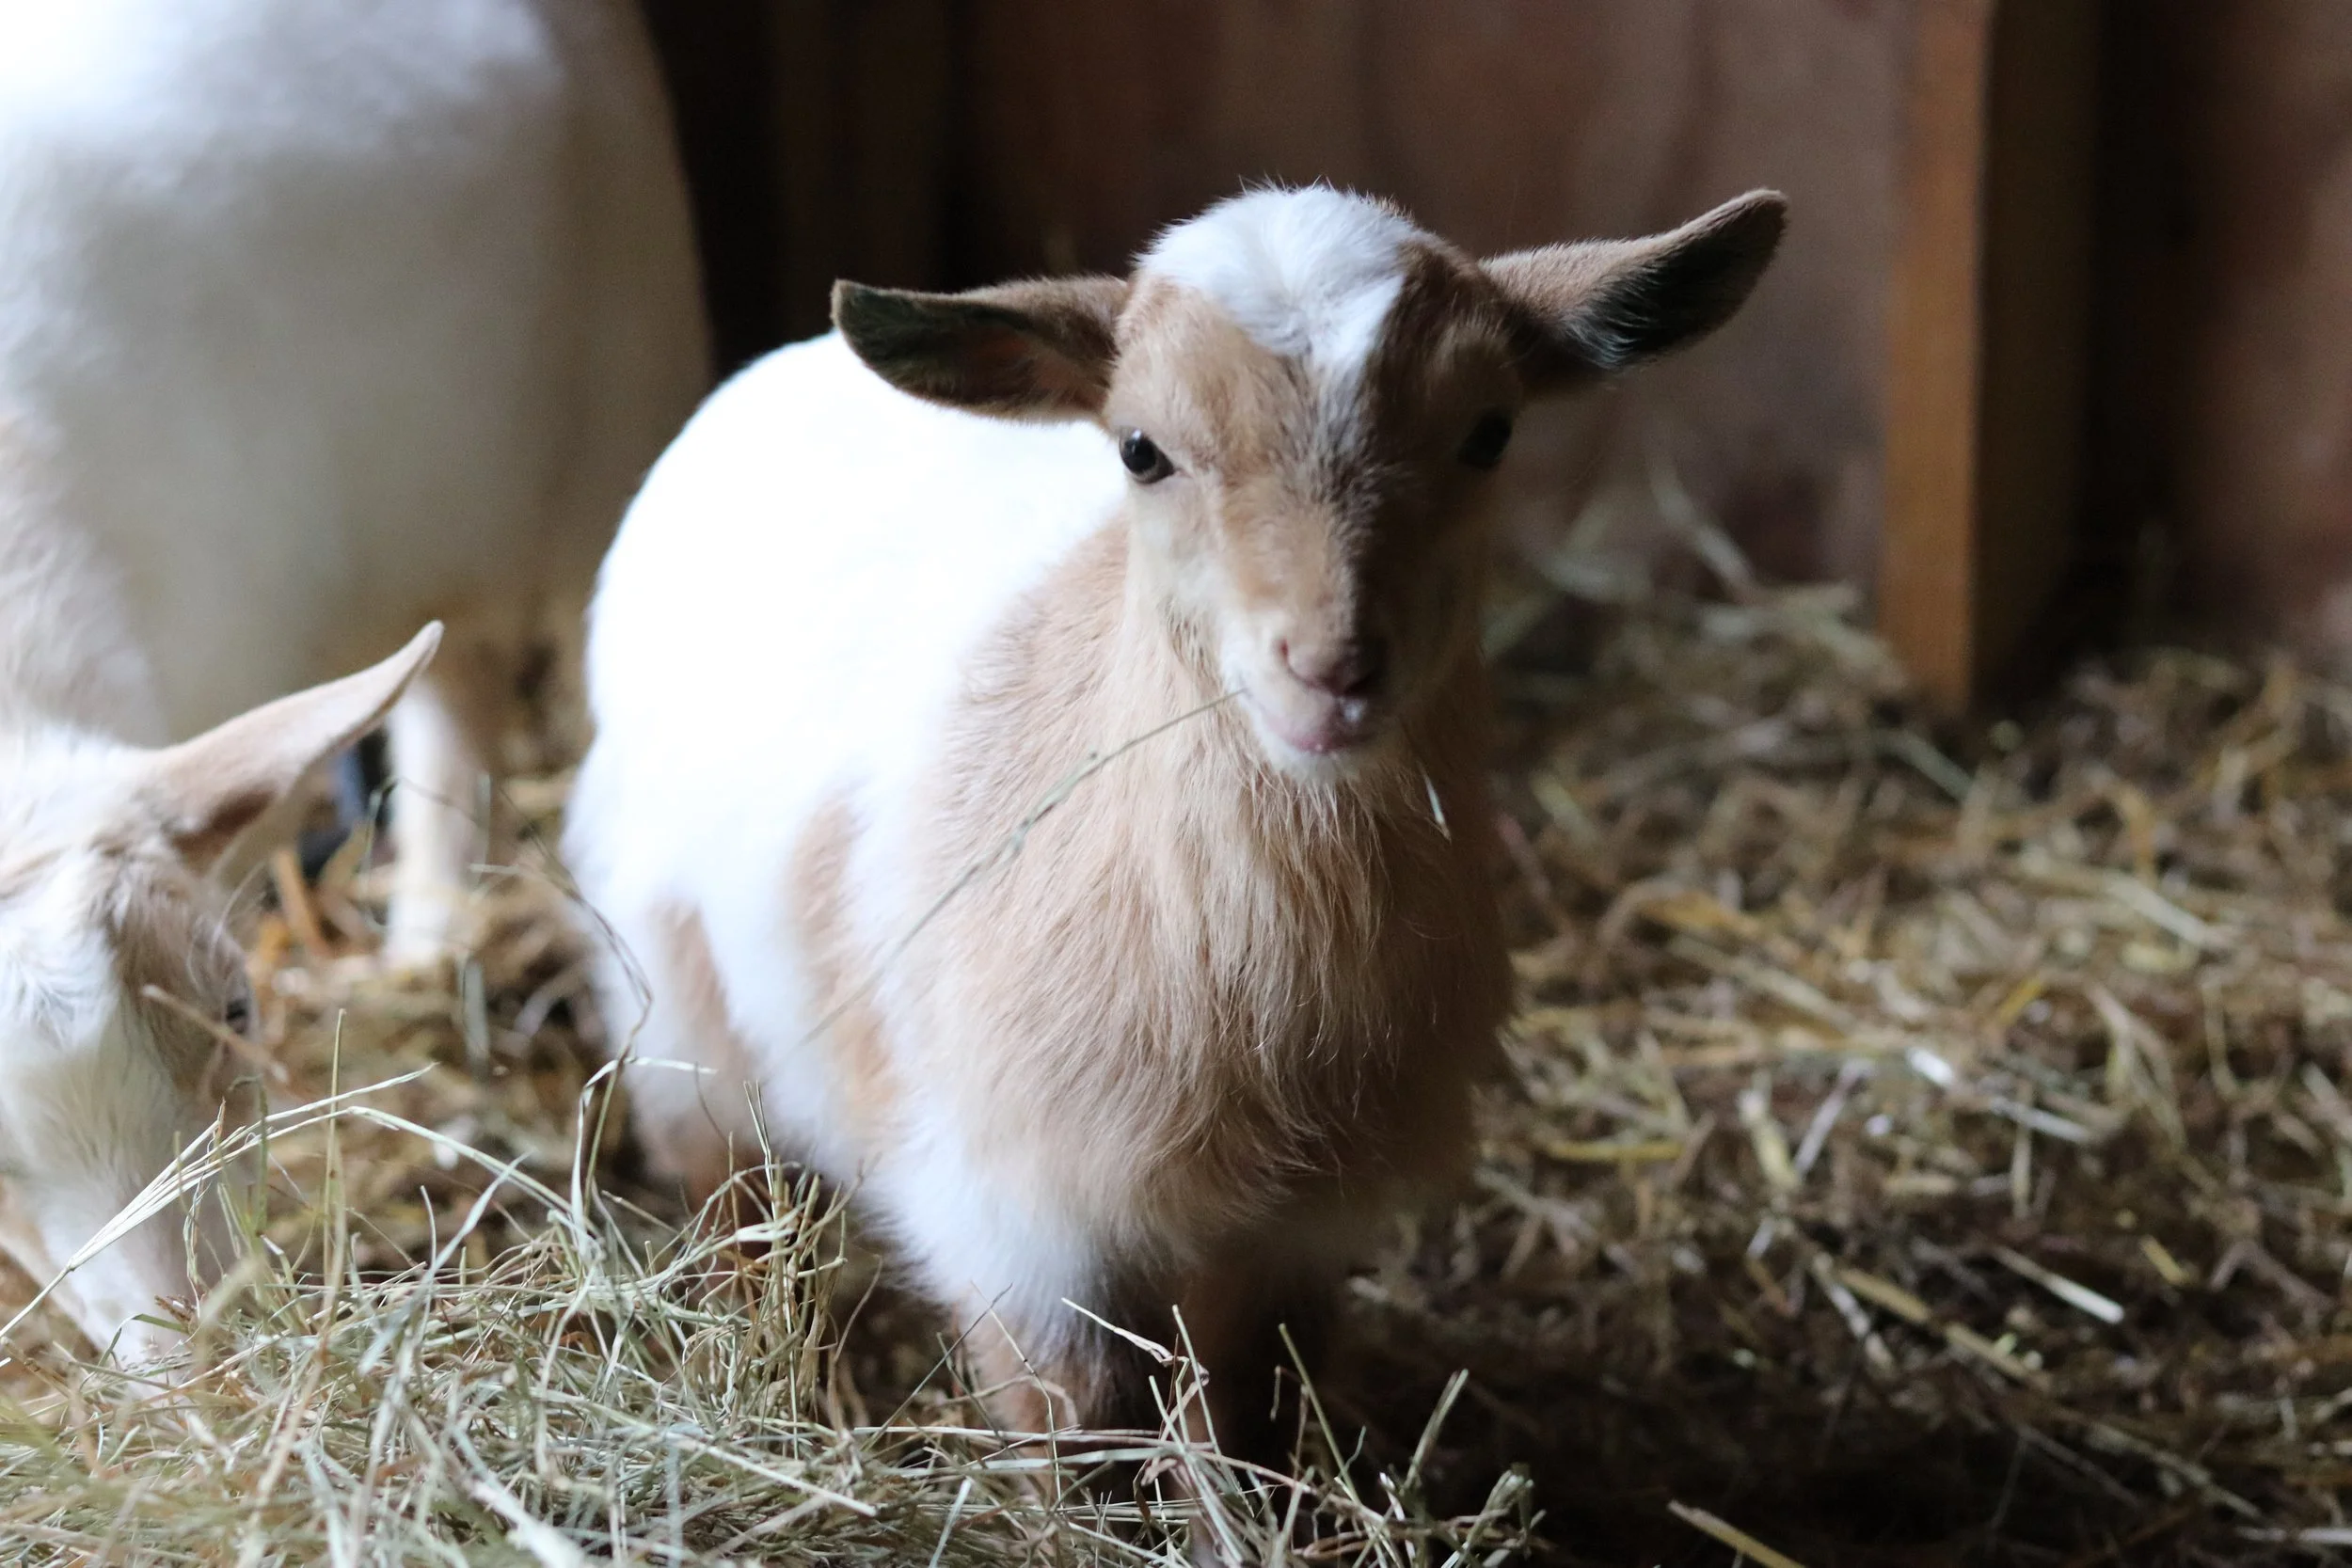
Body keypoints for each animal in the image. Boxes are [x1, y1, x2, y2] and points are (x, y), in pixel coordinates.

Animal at [569, 185, 1784, 1448]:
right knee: (727, 1194)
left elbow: (1245, 1405)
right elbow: (1083, 1428)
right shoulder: (1013, 1215)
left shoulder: (1296, 1227)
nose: (1333, 666)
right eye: (1140, 449)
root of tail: (791, 364)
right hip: (674, 1000)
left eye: (1489, 431)